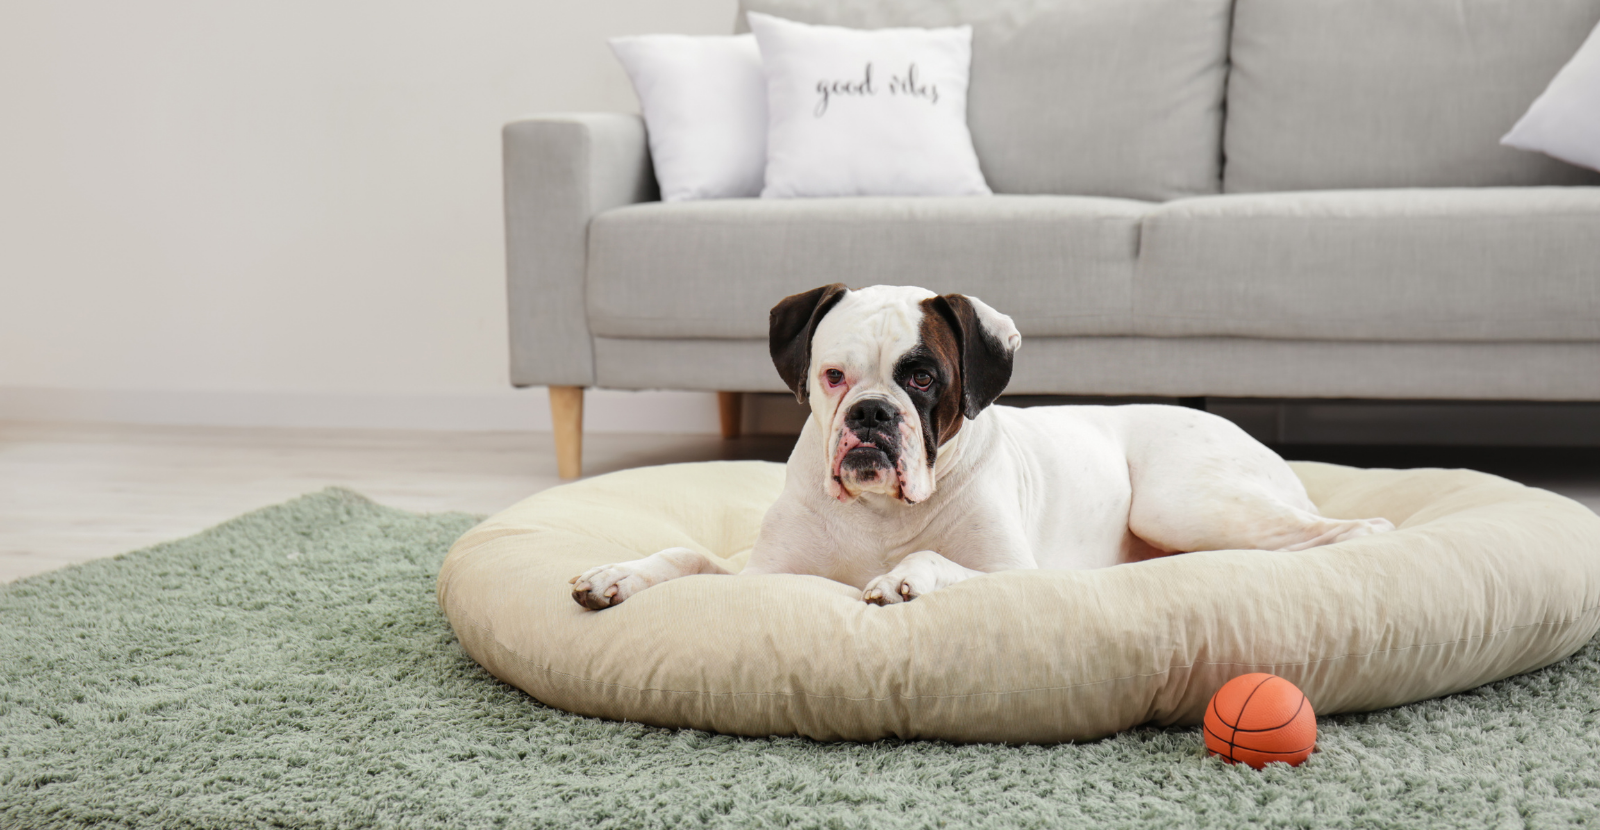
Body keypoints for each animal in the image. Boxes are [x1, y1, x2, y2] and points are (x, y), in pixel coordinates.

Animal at [569, 286, 1395, 610]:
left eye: (923, 377)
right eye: (833, 376)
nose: (873, 413)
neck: (879, 515)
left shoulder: (1011, 573)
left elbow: (937, 558)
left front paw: (905, 578)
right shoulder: (763, 576)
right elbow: (686, 558)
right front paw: (616, 575)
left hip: (1184, 502)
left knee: (1355, 529)